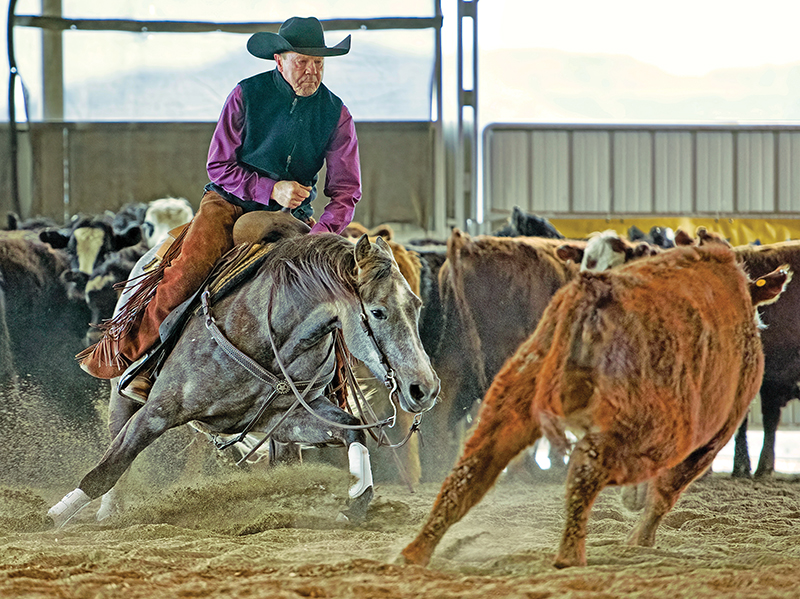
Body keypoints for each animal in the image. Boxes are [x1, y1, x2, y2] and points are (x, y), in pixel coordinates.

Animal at [48, 233, 441, 527]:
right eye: (378, 311)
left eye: (417, 305)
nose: (425, 389)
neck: (267, 334)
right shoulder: (159, 410)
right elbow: (109, 467)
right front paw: (50, 517)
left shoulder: (284, 418)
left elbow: (353, 430)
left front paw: (358, 500)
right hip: (122, 393)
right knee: (118, 439)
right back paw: (109, 511)